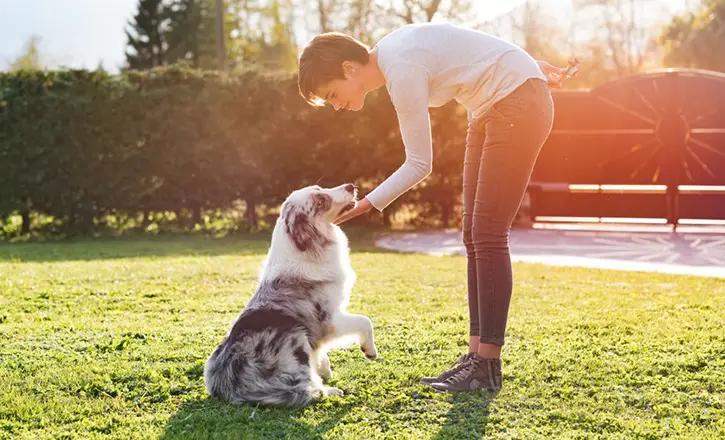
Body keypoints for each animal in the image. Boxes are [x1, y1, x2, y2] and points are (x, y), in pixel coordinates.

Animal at [201, 182, 376, 406]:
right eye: (321, 201)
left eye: (320, 187)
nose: (351, 186)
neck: (307, 248)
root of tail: (225, 387)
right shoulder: (328, 319)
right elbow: (365, 321)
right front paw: (370, 350)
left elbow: (320, 353)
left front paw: (325, 369)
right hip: (295, 337)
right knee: (305, 390)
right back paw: (330, 391)